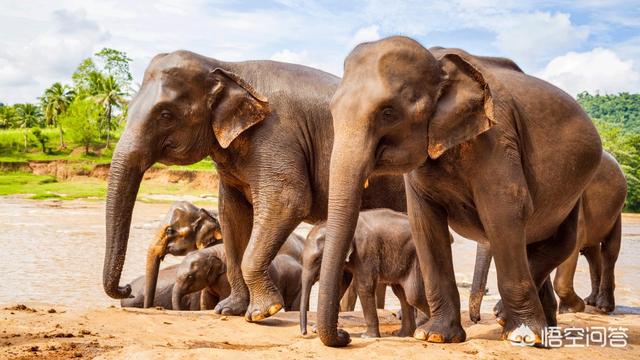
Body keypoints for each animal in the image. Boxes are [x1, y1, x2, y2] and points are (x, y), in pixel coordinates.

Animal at [300, 208, 430, 338]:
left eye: (318, 260)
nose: (304, 333)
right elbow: (341, 283)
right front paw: (316, 329)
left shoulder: (365, 250)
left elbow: (364, 286)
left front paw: (367, 336)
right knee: (401, 293)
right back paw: (402, 334)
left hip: (418, 260)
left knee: (414, 294)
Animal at [320, 35, 604, 346]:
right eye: (332, 111)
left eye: (388, 112)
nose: (346, 335)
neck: (438, 62)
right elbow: (425, 224)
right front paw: (435, 335)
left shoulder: (497, 137)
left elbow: (505, 212)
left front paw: (524, 335)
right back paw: (541, 326)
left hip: (576, 188)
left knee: (561, 241)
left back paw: (518, 324)